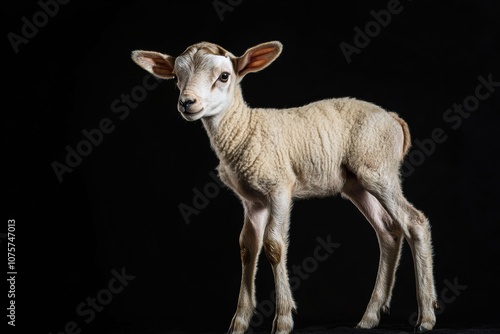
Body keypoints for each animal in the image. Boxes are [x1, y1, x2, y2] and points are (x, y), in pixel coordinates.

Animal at [132, 40, 438, 332]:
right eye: (175, 77)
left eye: (224, 76)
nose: (187, 103)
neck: (244, 129)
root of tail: (394, 118)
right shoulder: (252, 201)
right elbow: (247, 247)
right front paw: (239, 322)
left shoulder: (279, 187)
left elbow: (274, 246)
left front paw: (282, 320)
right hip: (357, 183)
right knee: (388, 231)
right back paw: (370, 317)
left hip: (379, 170)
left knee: (414, 222)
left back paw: (425, 317)